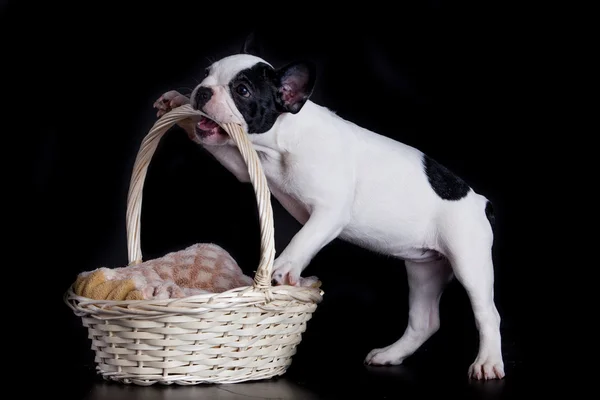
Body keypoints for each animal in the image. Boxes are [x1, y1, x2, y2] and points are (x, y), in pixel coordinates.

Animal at [152, 41, 504, 382]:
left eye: (242, 90)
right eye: (206, 74)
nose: (203, 91)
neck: (281, 140)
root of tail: (482, 202)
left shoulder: (330, 211)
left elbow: (303, 239)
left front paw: (283, 268)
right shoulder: (244, 165)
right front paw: (177, 104)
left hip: (468, 261)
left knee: (488, 314)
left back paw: (487, 363)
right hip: (424, 270)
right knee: (424, 320)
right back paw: (390, 354)